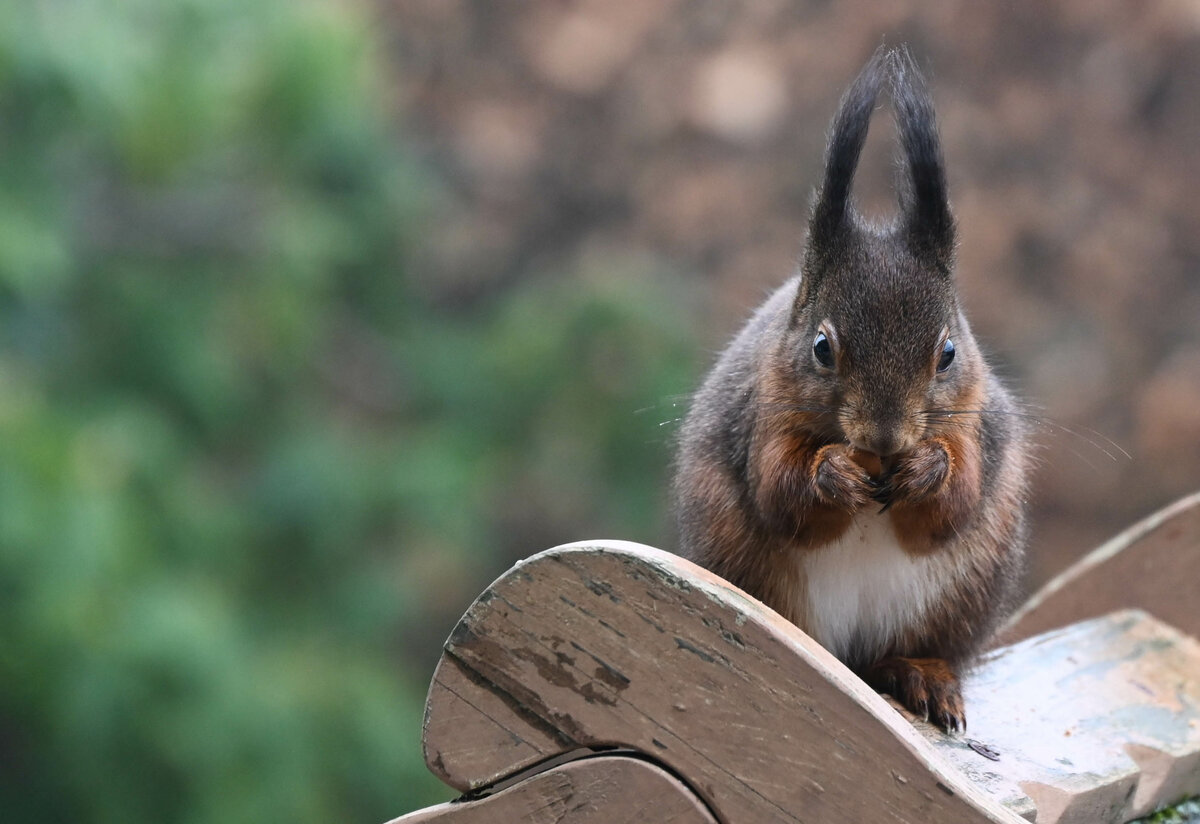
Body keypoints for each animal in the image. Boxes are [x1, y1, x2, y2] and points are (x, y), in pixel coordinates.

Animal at [672, 47, 1031, 732]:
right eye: (821, 347)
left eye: (948, 354)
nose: (886, 439)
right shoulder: (763, 416)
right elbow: (780, 491)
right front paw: (834, 473)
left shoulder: (972, 422)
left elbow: (956, 500)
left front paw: (926, 470)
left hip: (963, 592)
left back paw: (919, 675)